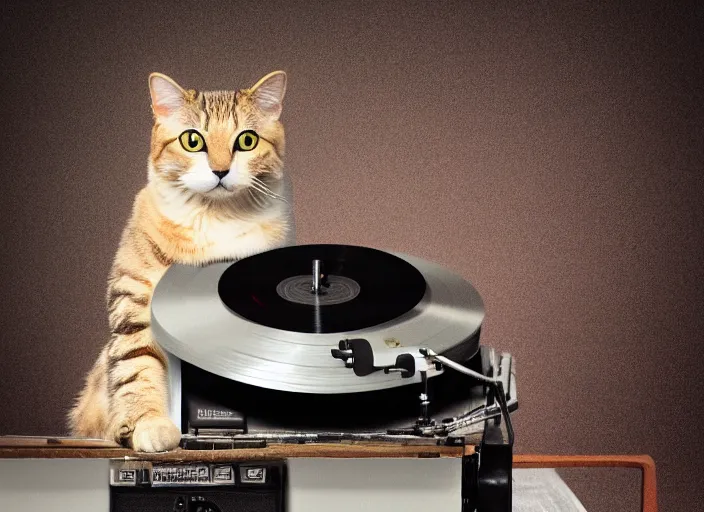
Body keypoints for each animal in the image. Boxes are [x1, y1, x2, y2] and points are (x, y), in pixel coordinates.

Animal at [67, 70, 292, 450]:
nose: (220, 170)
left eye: (247, 141)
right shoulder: (134, 300)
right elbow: (137, 368)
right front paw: (150, 425)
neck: (215, 219)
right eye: (192, 141)